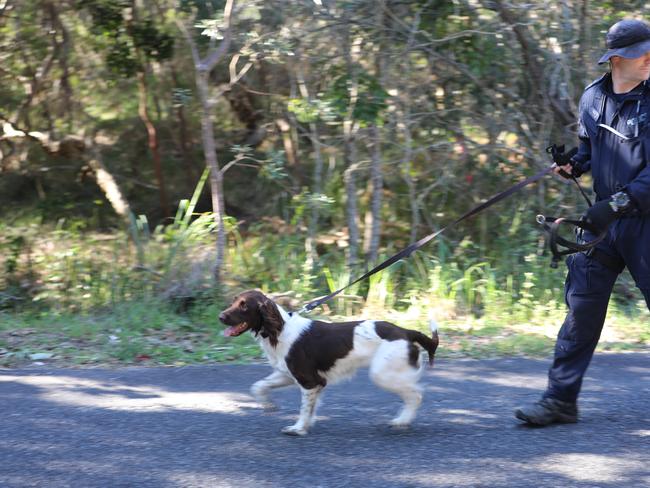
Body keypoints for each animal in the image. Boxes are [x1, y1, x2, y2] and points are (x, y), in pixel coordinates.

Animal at [220, 290, 438, 434]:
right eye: (233, 301)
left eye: (244, 305)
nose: (220, 316)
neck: (279, 330)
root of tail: (406, 331)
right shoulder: (289, 374)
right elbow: (259, 386)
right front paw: (268, 404)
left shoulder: (310, 381)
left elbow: (304, 408)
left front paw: (298, 428)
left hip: (382, 374)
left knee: (416, 395)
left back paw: (402, 420)